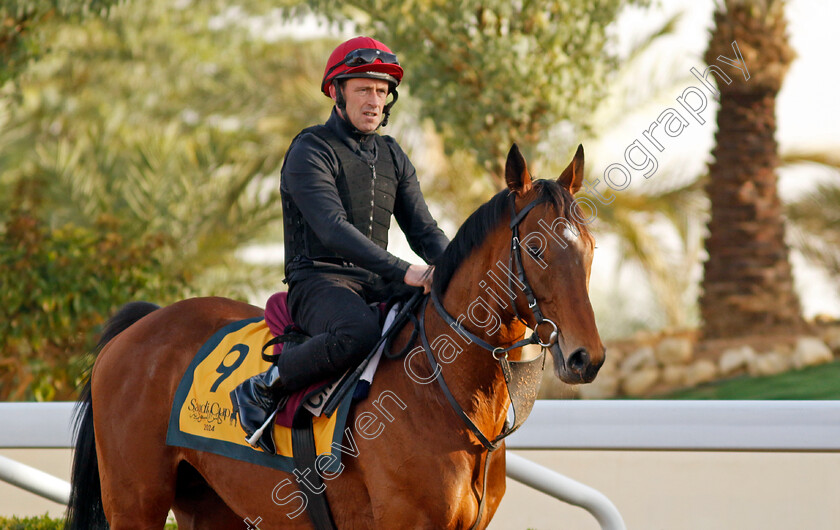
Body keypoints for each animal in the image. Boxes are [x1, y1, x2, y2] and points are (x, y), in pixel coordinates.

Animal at [65, 142, 604, 524]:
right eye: (534, 248)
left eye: (591, 247)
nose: (586, 358)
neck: (442, 393)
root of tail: (141, 325)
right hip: (135, 502)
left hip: (209, 503)